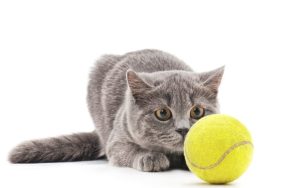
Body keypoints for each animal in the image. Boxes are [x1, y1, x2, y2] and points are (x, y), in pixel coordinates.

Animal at [8, 49, 224, 172]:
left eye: (197, 112)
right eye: (162, 113)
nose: (183, 129)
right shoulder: (117, 141)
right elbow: (129, 149)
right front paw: (150, 157)